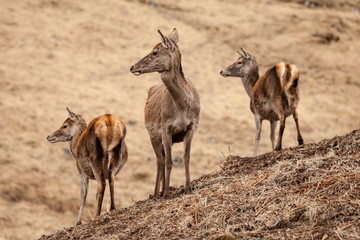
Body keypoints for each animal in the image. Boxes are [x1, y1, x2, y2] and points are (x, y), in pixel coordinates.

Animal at [129, 28, 200, 199]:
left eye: (155, 51)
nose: (132, 66)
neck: (182, 108)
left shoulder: (192, 127)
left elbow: (186, 158)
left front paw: (188, 188)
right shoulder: (165, 128)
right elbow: (168, 162)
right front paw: (167, 193)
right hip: (152, 135)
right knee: (160, 161)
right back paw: (156, 193)